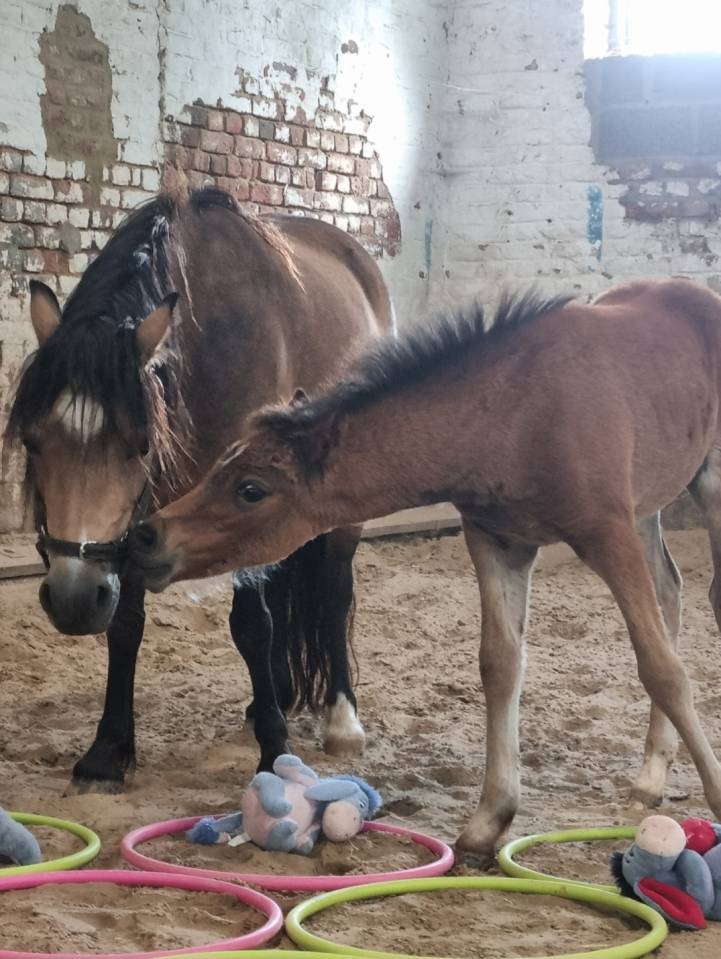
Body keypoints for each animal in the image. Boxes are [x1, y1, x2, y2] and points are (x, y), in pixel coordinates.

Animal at [4, 186, 393, 790]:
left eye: (140, 444)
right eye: (35, 440)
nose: (72, 601)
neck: (209, 342)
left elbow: (252, 626)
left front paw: (274, 750)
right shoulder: (140, 525)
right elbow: (126, 625)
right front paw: (107, 751)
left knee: (333, 592)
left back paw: (341, 719)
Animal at [128, 278, 721, 862]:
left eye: (251, 490)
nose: (146, 536)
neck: (519, 412)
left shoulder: (607, 532)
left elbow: (662, 669)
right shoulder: (497, 540)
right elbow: (500, 664)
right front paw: (487, 822)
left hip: (700, 489)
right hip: (648, 503)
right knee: (671, 590)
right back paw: (649, 778)